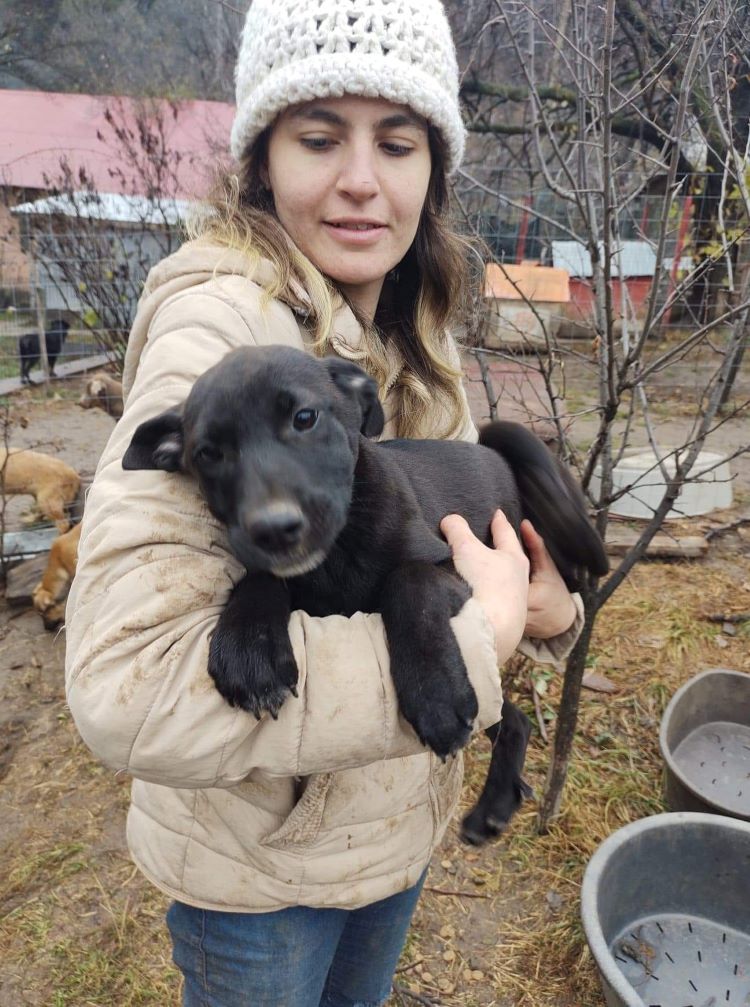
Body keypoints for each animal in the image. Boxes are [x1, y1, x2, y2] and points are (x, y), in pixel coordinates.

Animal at [125, 346, 608, 841]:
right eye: (207, 453)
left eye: (304, 417)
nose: (274, 530)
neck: (337, 555)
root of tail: (493, 452)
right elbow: (260, 578)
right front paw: (249, 648)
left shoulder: (454, 565)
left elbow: (409, 581)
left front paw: (436, 695)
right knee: (512, 717)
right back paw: (494, 806)